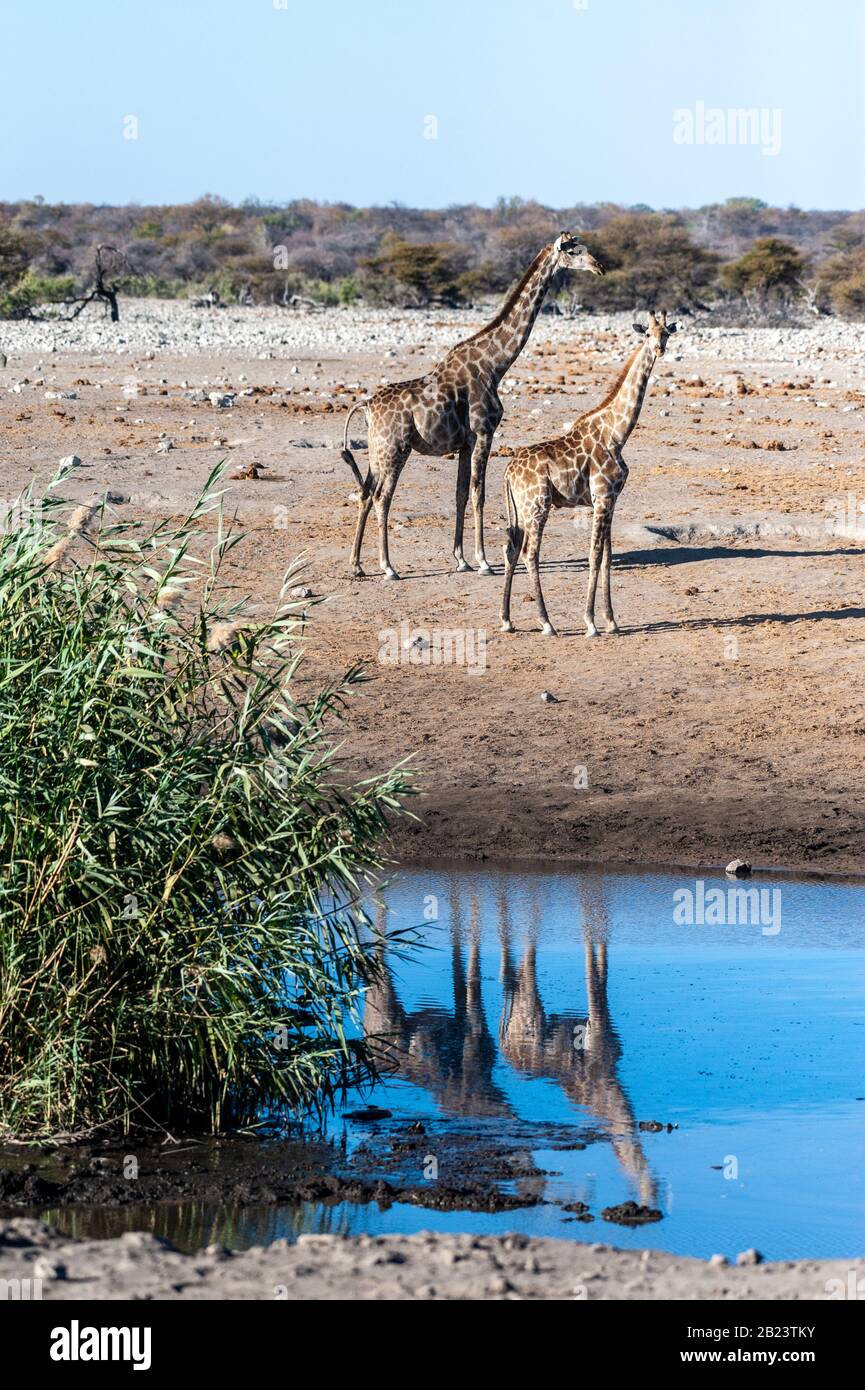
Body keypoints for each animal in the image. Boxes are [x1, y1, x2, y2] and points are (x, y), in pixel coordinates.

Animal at [342, 232, 606, 575]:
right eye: (574, 251)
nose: (599, 267)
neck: (495, 365)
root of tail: (367, 407)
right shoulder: (484, 432)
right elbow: (479, 494)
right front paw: (483, 561)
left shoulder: (465, 442)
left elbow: (461, 494)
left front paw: (461, 559)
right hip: (395, 449)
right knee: (381, 496)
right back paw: (388, 567)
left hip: (377, 450)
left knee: (365, 491)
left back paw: (357, 565)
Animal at [500, 309, 678, 636]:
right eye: (647, 333)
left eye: (667, 333)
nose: (659, 349)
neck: (617, 434)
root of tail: (507, 471)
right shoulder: (602, 497)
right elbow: (595, 556)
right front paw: (591, 622)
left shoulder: (611, 500)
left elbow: (607, 556)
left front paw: (611, 621)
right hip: (537, 505)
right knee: (530, 553)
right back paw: (547, 623)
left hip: (517, 509)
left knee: (511, 548)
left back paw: (507, 620)